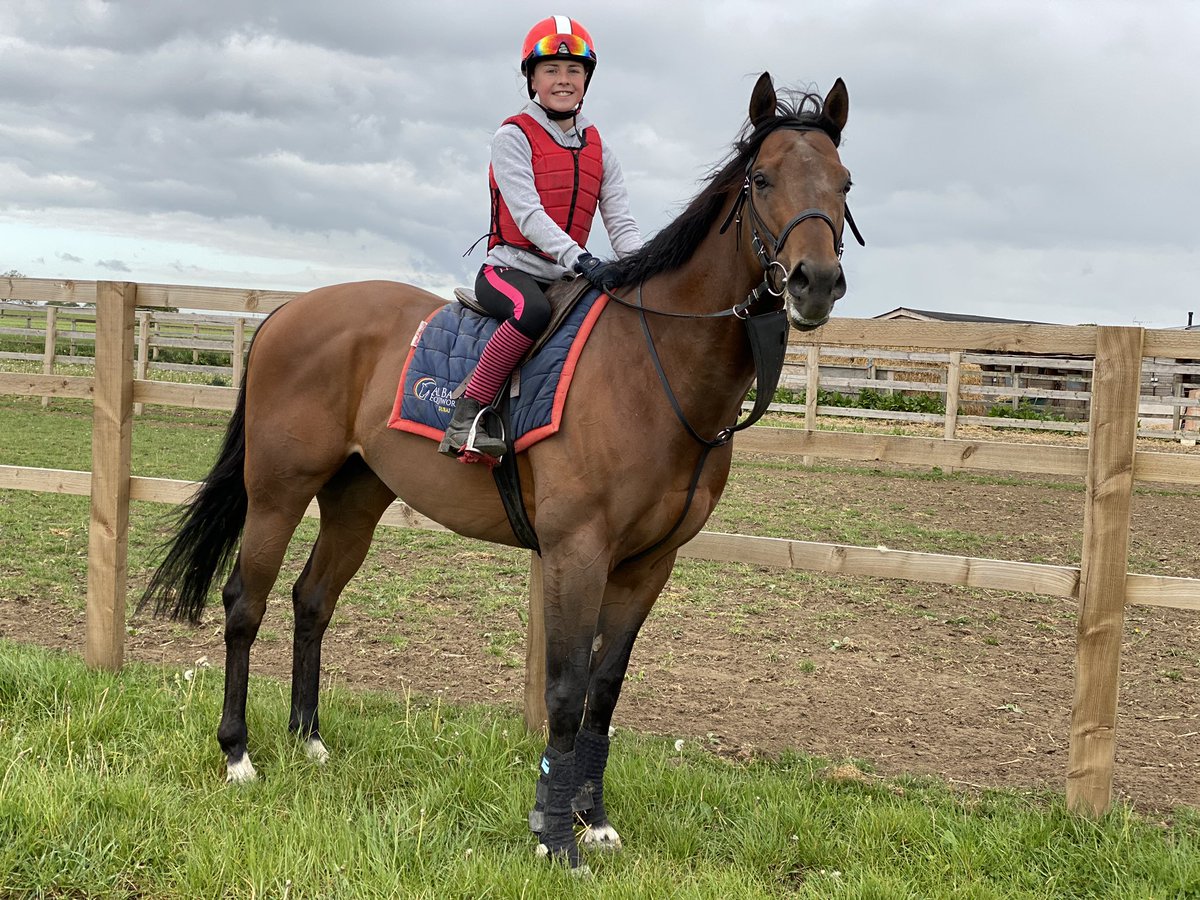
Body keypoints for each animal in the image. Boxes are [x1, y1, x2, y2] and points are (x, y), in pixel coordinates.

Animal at [140, 74, 859, 868]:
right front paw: (554, 835)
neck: (653, 368)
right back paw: (238, 754)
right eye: (762, 180)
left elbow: (605, 690)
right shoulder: (578, 551)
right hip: (278, 493)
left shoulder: (650, 563)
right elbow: (565, 691)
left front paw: (592, 818)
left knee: (311, 601)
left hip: (356, 501)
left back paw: (310, 742)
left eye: (844, 182)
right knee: (246, 603)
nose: (816, 282)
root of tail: (286, 313)